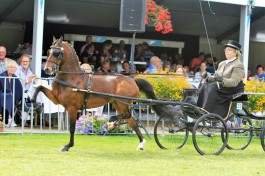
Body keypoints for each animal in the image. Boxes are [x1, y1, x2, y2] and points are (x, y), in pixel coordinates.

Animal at [31, 36, 169, 151]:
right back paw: (140, 143)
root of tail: (132, 80)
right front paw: (37, 106)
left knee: (128, 116)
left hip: (122, 102)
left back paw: (112, 121)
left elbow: (72, 128)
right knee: (132, 122)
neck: (72, 78)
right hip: (118, 103)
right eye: (48, 52)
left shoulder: (72, 107)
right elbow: (39, 87)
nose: (47, 69)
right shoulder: (56, 99)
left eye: (56, 53)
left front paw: (68, 146)